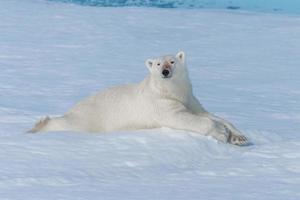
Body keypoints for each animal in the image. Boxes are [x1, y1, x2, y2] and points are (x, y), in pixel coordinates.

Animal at [28, 51, 248, 145]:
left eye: (172, 61)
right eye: (158, 64)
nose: (165, 71)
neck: (170, 91)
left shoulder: (190, 98)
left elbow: (207, 114)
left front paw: (239, 137)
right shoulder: (160, 105)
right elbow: (183, 118)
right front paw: (221, 133)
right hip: (88, 119)